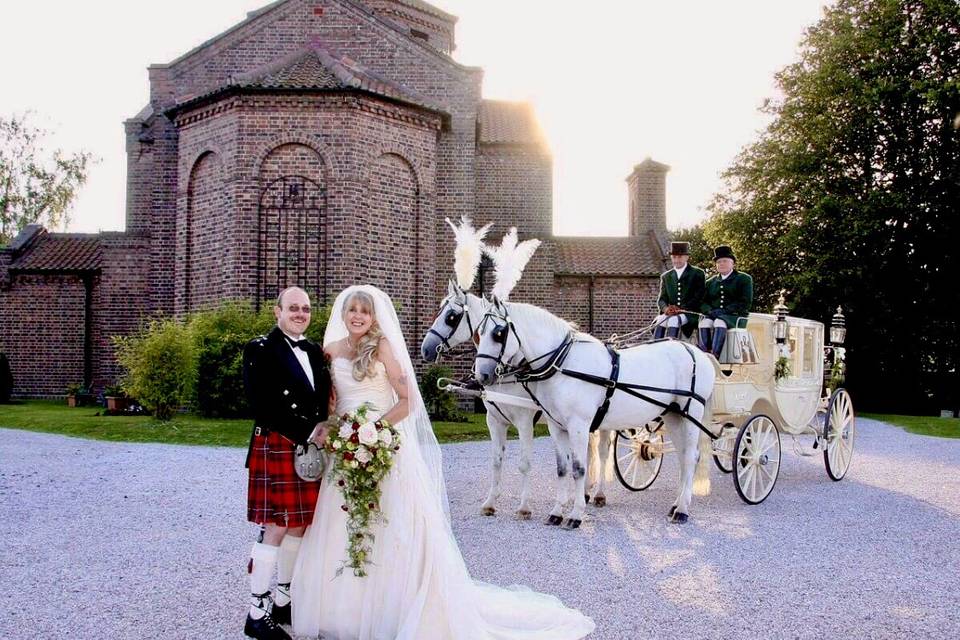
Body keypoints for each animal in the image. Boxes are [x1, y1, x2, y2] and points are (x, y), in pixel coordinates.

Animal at [420, 282, 616, 516]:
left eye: (451, 316)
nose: (425, 349)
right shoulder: (494, 421)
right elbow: (496, 461)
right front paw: (490, 502)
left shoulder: (524, 422)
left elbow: (524, 464)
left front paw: (524, 506)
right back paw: (584, 493)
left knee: (603, 453)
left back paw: (600, 494)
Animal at [472, 298, 712, 528]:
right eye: (478, 333)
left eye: (498, 333)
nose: (482, 375)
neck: (562, 363)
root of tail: (696, 351)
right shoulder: (555, 426)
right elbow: (562, 469)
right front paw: (556, 513)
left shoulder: (575, 425)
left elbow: (579, 468)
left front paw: (575, 515)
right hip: (674, 417)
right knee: (683, 457)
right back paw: (676, 504)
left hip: (691, 415)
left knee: (690, 457)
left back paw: (682, 510)